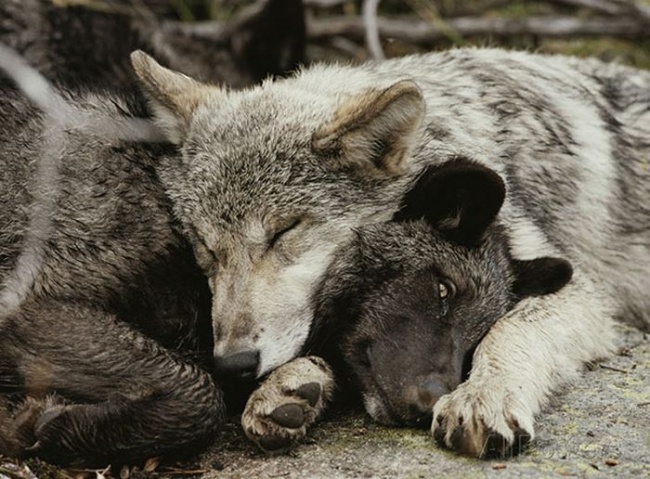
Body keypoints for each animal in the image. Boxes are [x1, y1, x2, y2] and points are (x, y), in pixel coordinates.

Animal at [128, 47, 648, 458]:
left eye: (283, 232)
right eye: (205, 248)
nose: (233, 364)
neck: (447, 138)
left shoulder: (584, 293)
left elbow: (510, 329)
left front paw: (485, 395)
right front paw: (288, 385)